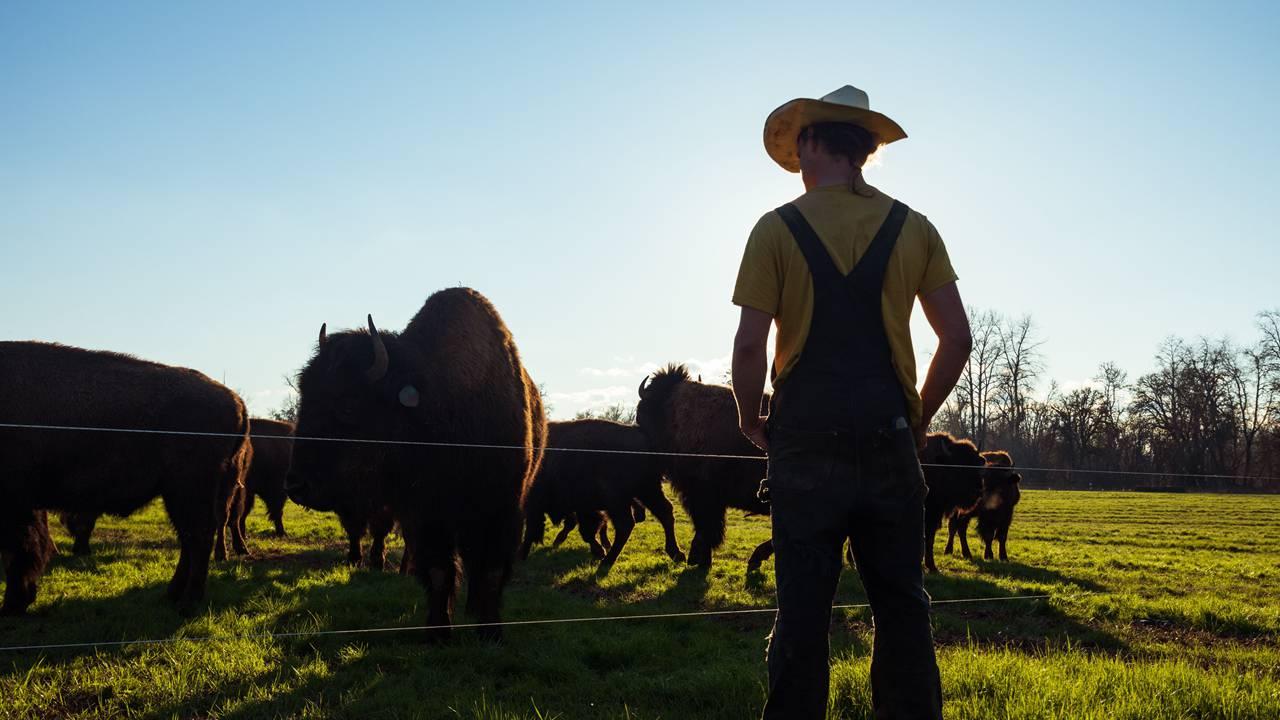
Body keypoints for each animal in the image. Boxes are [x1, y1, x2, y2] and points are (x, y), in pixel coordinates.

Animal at [0, 340, 252, 609]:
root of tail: (237, 401)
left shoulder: (17, 505)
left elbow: (21, 550)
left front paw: (13, 603)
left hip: (188, 490)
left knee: (199, 537)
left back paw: (187, 603)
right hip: (180, 494)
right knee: (189, 539)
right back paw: (172, 594)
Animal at [285, 286, 545, 638]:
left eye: (349, 405)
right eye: (305, 399)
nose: (296, 485)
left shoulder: (501, 510)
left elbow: (490, 570)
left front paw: (490, 631)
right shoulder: (424, 515)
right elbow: (438, 570)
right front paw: (438, 632)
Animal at [519, 420, 686, 566]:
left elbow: (586, 530)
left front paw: (600, 551)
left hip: (621, 499)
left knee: (626, 524)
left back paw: (608, 560)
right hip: (648, 490)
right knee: (664, 512)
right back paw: (676, 554)